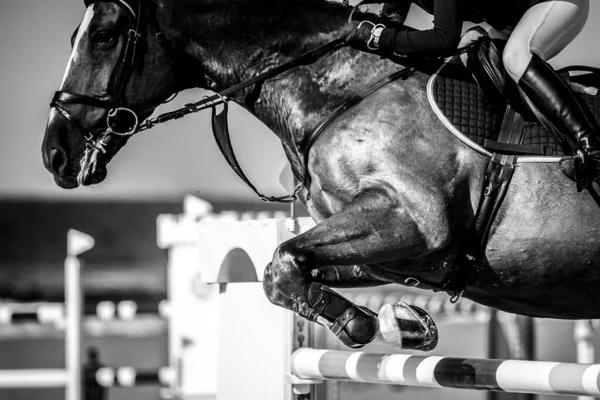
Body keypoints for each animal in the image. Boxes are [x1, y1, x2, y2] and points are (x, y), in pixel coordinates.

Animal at [39, 0, 600, 350]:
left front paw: (373, 323)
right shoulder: (398, 256)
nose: (54, 155)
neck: (340, 93)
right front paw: (394, 323)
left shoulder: (416, 221)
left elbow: (284, 262)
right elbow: (281, 270)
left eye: (104, 36)